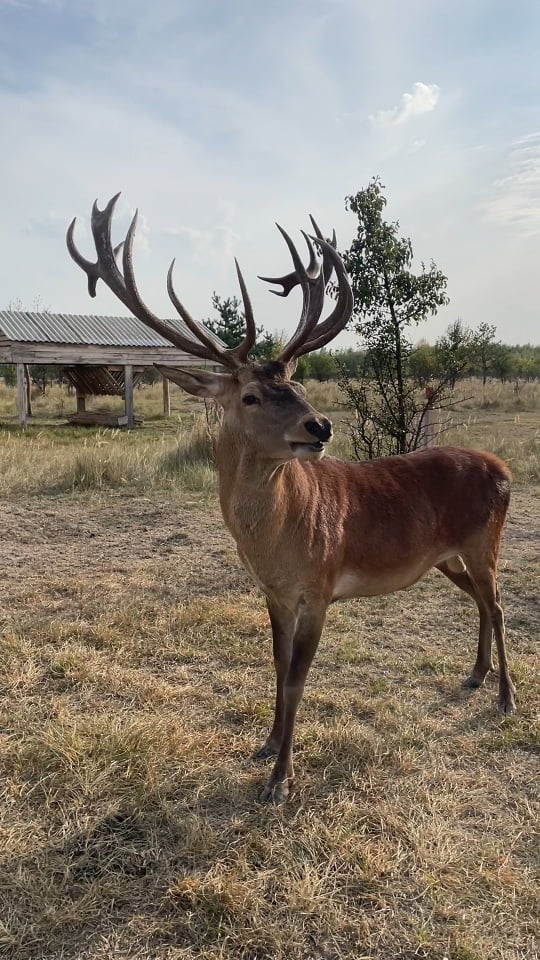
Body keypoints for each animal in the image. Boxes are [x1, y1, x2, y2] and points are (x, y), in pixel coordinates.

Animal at [67, 195, 516, 804]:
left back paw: (507, 697)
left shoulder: (319, 587)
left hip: (483, 540)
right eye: (252, 395)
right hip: (445, 557)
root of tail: (504, 469)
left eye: (298, 386)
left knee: (498, 603)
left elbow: (300, 680)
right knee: (481, 603)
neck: (276, 543)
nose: (320, 426)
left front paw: (280, 780)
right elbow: (278, 670)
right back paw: (475, 674)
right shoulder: (274, 593)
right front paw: (265, 745)